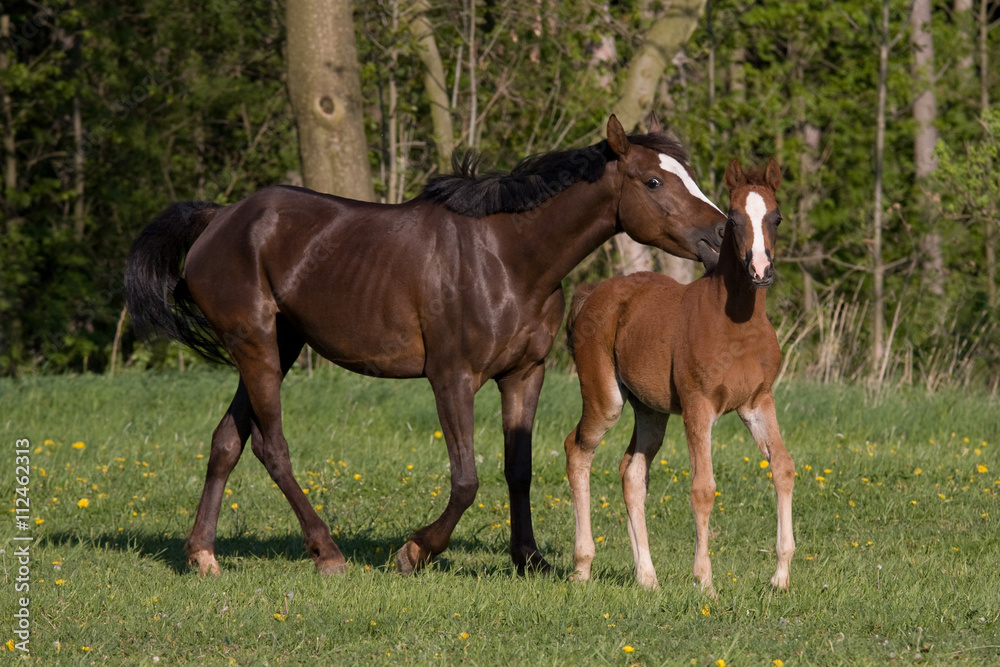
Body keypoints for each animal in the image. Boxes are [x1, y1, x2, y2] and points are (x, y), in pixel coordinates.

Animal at [568, 159, 792, 596]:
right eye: (734, 219)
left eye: (776, 217)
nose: (760, 269)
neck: (736, 323)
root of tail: (592, 294)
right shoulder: (698, 406)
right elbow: (703, 488)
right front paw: (705, 581)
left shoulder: (758, 402)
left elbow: (783, 467)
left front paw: (781, 576)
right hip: (606, 399)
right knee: (577, 450)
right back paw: (582, 567)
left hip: (650, 411)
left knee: (632, 473)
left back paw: (647, 578)